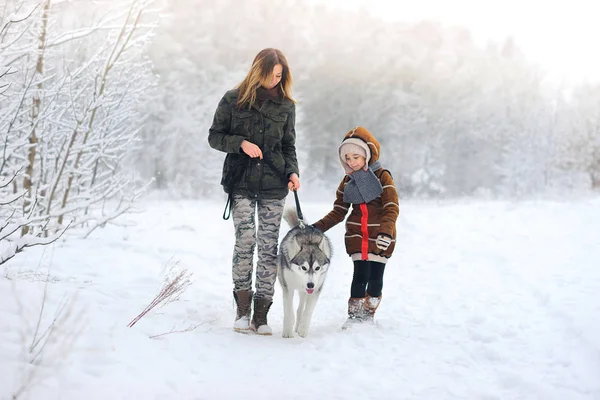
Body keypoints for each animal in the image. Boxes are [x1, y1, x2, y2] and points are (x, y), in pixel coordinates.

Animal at [278, 209, 332, 338]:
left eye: (317, 268)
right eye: (303, 267)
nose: (310, 285)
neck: (309, 240)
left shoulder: (316, 289)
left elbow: (308, 311)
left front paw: (303, 330)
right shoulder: (288, 287)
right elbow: (288, 310)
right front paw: (287, 332)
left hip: (304, 291)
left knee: (300, 309)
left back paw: (298, 325)